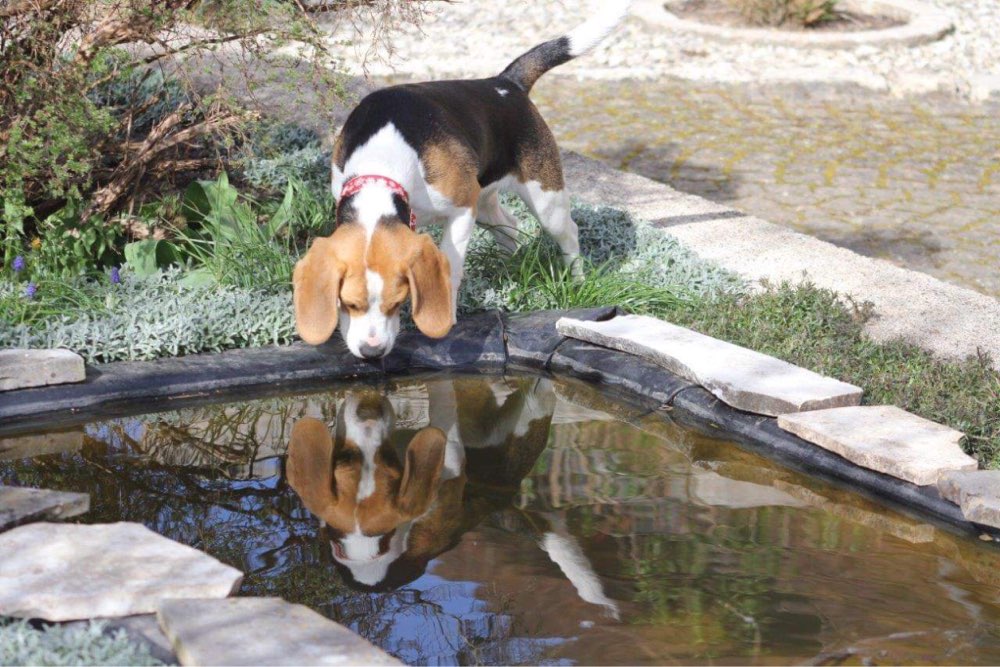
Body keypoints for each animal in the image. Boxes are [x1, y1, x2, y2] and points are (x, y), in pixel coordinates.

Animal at [292, 3, 632, 360]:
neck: (383, 163)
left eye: (397, 302)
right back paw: (506, 269)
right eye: (348, 302)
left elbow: (451, 265)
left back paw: (576, 281)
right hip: (484, 203)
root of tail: (503, 82)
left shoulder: (461, 210)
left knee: (569, 233)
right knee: (509, 227)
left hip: (543, 200)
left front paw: (449, 317)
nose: (372, 352)